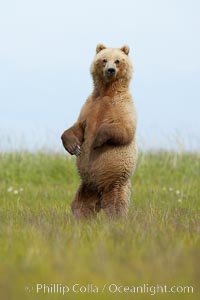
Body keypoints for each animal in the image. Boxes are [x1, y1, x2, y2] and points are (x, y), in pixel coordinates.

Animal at [61, 44, 137, 218]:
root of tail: (99, 192)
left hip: (115, 179)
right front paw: (73, 147)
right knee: (80, 205)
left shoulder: (123, 107)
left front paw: (96, 141)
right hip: (87, 184)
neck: (106, 92)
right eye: (104, 59)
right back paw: (82, 218)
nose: (110, 70)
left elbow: (124, 130)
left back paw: (115, 218)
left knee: (115, 204)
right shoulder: (89, 106)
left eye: (118, 60)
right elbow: (78, 127)